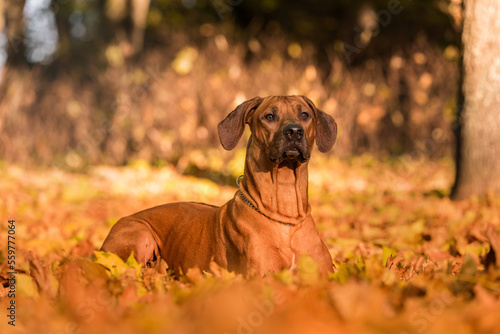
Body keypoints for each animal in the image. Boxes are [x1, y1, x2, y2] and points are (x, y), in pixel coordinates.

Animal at [100, 94, 338, 276]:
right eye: (269, 116)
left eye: (304, 115)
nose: (294, 131)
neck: (286, 215)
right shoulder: (262, 277)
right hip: (140, 235)